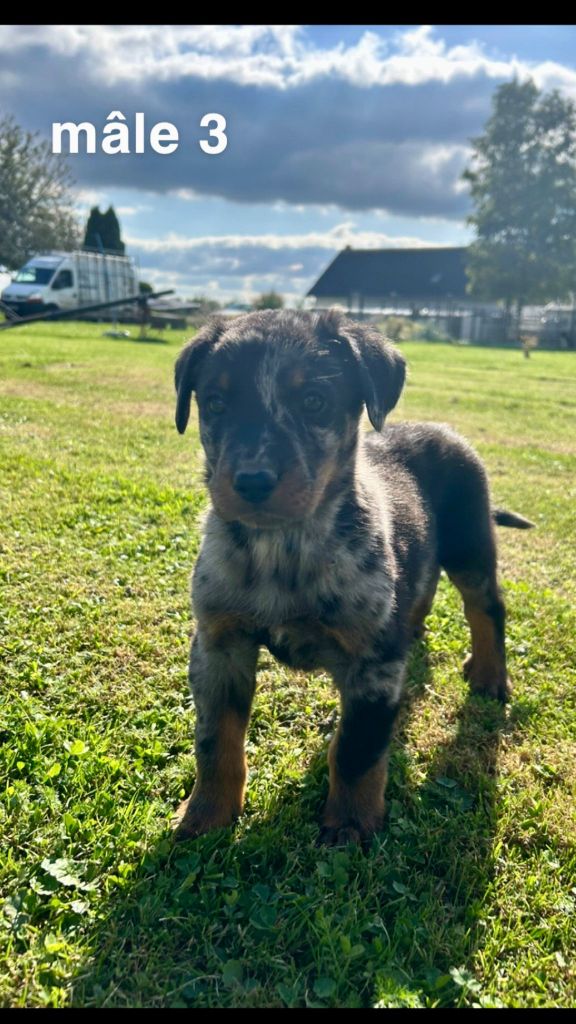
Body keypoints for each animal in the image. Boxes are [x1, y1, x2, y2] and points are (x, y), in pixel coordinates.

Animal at [171, 311, 532, 847]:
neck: (285, 549)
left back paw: (490, 676)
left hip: (471, 543)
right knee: (422, 589)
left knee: (486, 608)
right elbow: (216, 741)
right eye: (215, 403)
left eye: (313, 402)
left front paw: (350, 826)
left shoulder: (373, 663)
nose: (252, 481)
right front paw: (206, 817)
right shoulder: (219, 644)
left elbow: (357, 751)